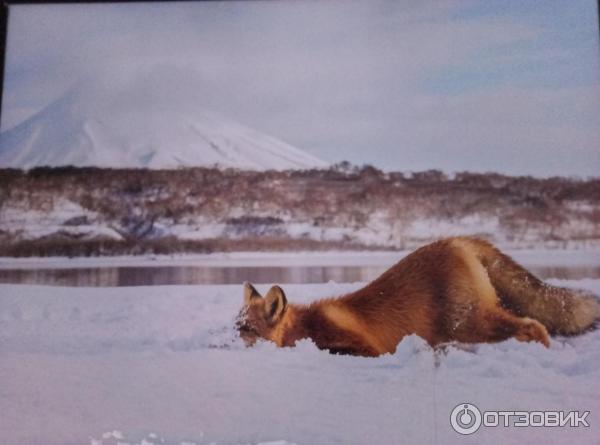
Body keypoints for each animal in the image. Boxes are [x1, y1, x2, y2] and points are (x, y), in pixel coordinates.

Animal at [236, 238, 600, 356]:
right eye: (234, 327)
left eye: (247, 331)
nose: (224, 349)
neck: (305, 327)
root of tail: (460, 239)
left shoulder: (369, 348)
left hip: (469, 323)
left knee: (534, 326)